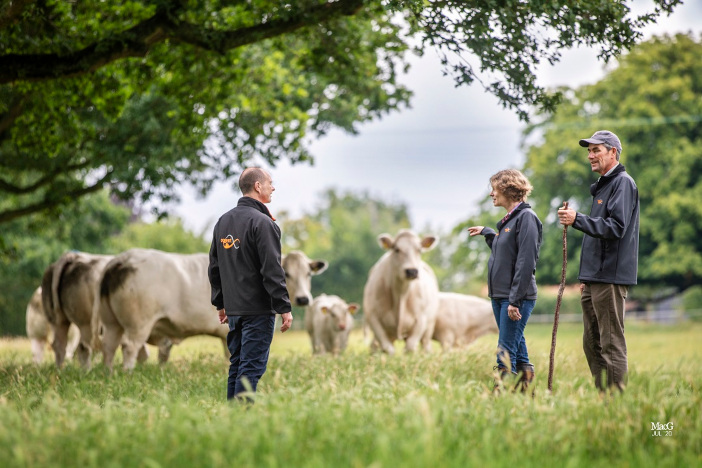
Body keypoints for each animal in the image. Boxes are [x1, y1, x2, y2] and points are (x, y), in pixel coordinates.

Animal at [95, 247, 228, 372]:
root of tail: (123, 259)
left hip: (110, 320)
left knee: (109, 345)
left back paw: (108, 372)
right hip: (139, 324)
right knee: (129, 346)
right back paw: (128, 372)